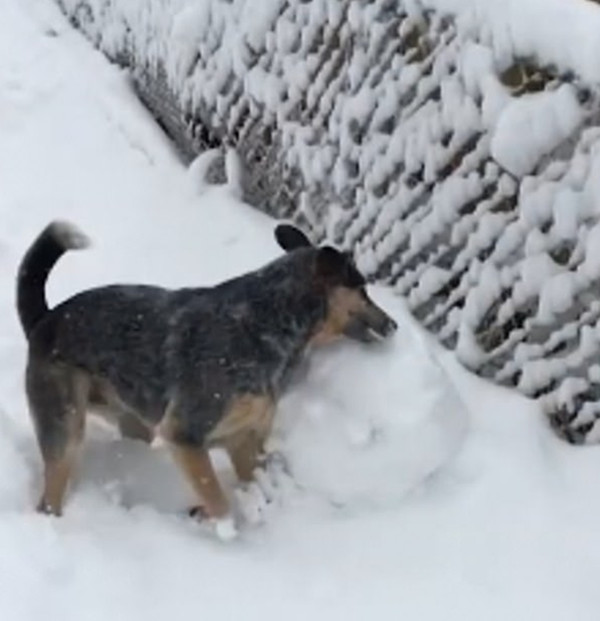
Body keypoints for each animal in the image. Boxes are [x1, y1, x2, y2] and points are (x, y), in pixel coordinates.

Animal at [16, 220, 398, 532]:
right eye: (363, 290)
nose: (395, 324)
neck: (270, 320)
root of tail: (44, 320)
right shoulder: (184, 434)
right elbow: (219, 499)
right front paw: (220, 524)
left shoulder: (244, 439)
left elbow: (253, 483)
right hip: (65, 427)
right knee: (49, 496)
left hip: (132, 420)